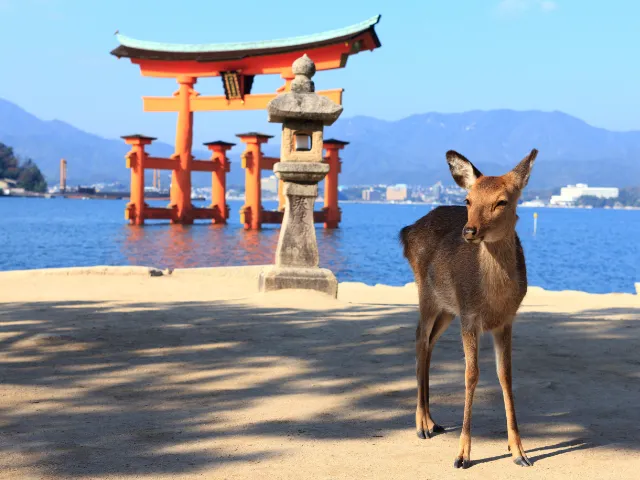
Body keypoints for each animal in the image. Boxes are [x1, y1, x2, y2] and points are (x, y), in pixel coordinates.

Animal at [399, 148, 538, 469]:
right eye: (468, 200)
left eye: (502, 201)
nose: (470, 230)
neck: (493, 299)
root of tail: (406, 231)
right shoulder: (470, 317)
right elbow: (471, 374)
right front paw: (462, 455)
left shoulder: (506, 321)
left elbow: (505, 375)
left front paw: (519, 452)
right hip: (427, 293)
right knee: (419, 338)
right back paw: (421, 424)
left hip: (448, 309)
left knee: (430, 342)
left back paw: (432, 421)